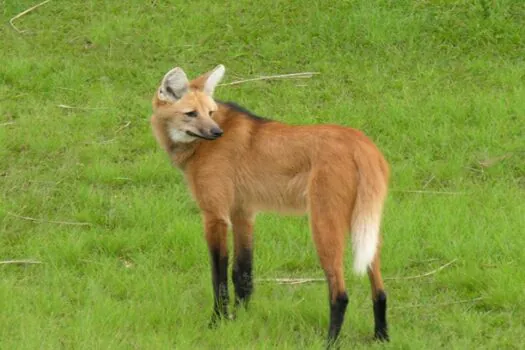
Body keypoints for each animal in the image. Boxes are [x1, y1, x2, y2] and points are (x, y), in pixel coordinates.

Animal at [149, 65, 386, 344]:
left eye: (210, 113)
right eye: (191, 113)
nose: (217, 132)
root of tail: (361, 142)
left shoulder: (215, 216)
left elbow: (219, 276)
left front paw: (217, 321)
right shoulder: (242, 211)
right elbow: (242, 273)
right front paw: (240, 320)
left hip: (323, 223)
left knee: (340, 293)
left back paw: (330, 342)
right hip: (363, 223)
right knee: (380, 288)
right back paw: (382, 336)